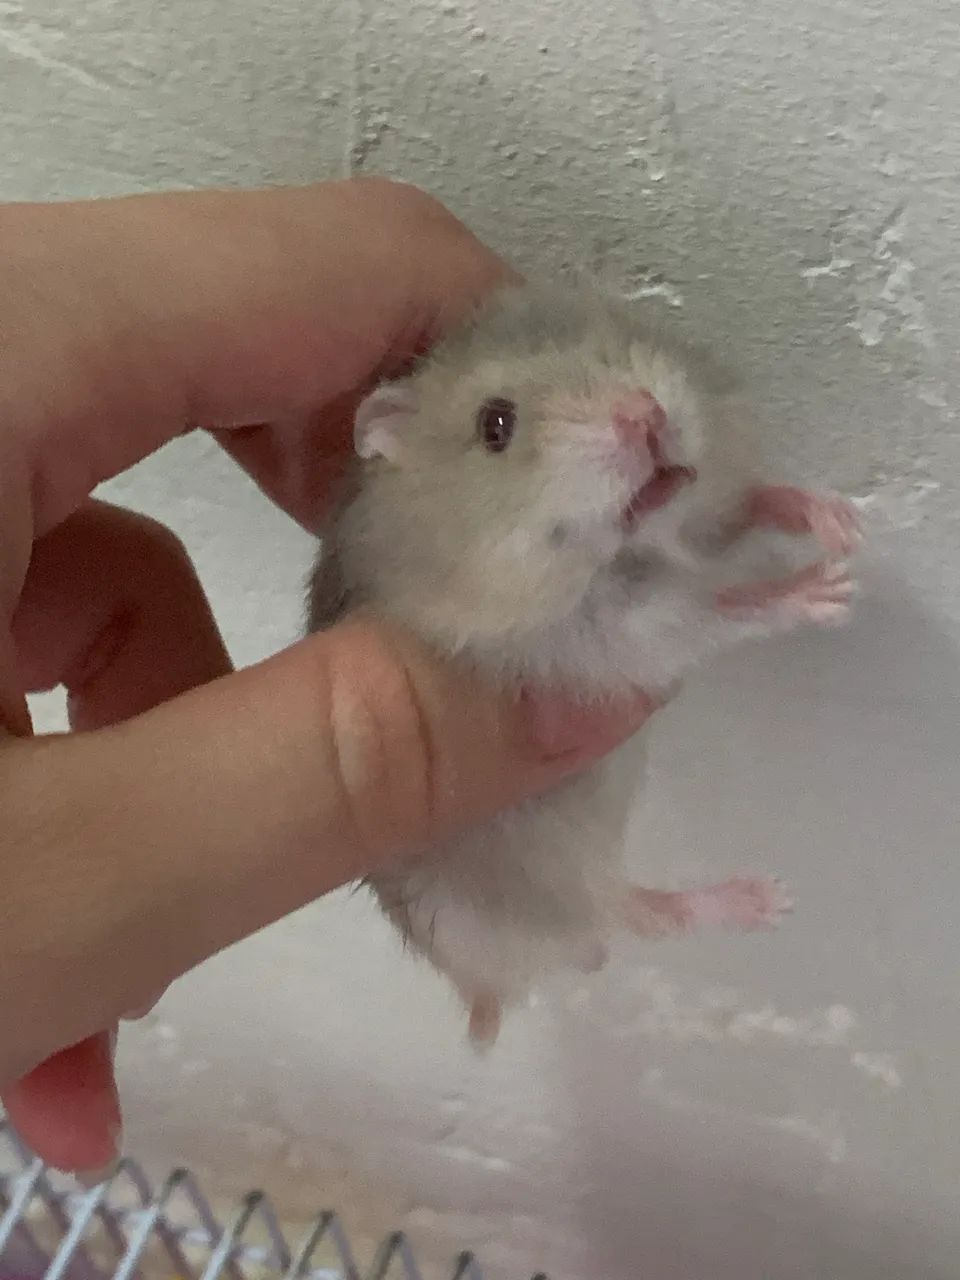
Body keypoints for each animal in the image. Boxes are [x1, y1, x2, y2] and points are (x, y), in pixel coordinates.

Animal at [306, 281, 861, 1046]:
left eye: (604, 326)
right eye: (495, 424)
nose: (644, 413)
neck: (633, 550)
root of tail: (487, 990)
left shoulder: (704, 521)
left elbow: (747, 505)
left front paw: (841, 522)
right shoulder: (624, 633)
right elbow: (727, 607)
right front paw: (832, 591)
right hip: (555, 884)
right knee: (637, 919)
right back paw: (766, 899)